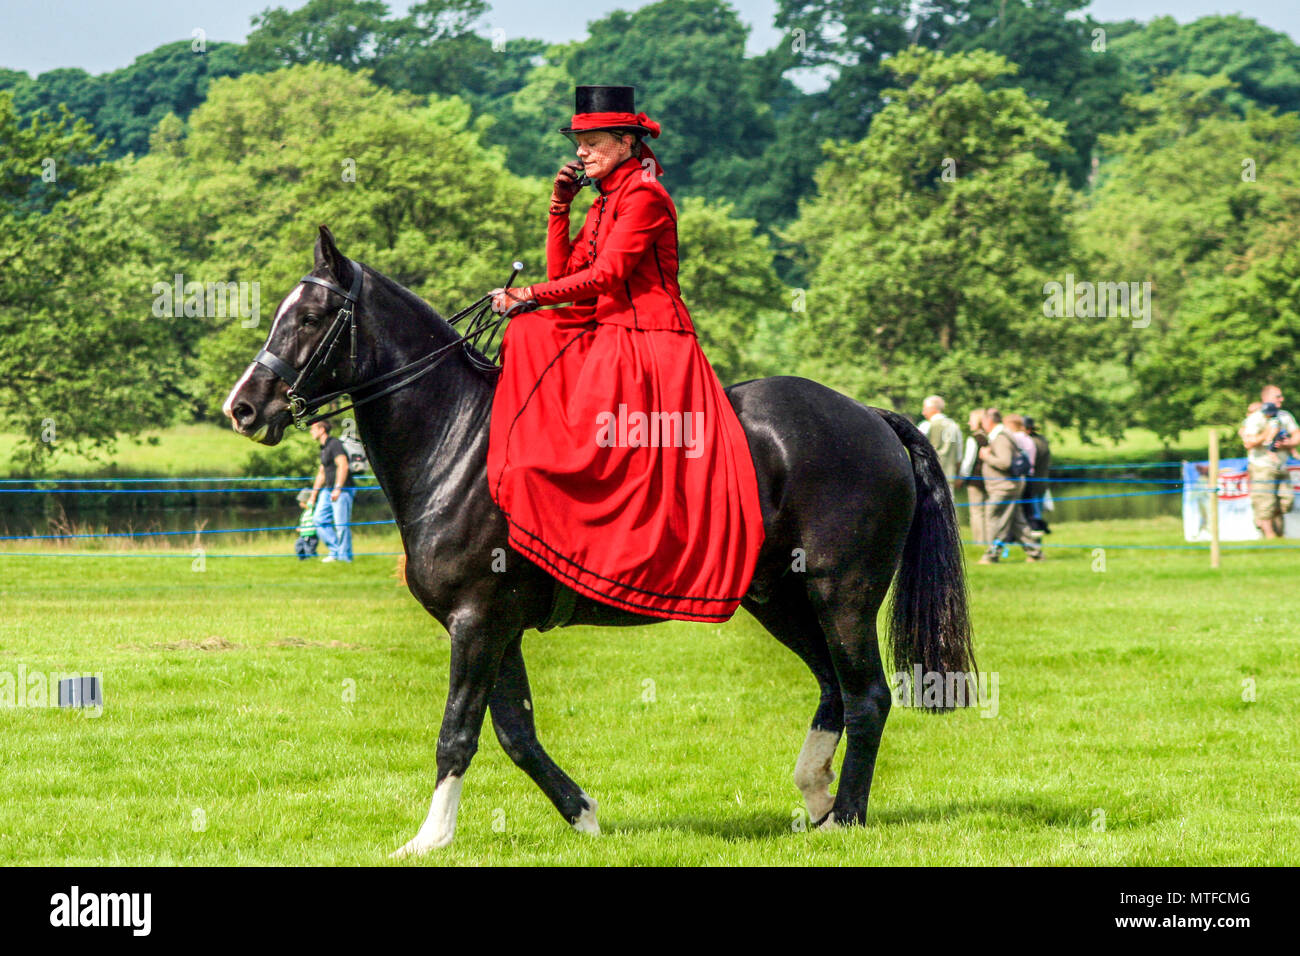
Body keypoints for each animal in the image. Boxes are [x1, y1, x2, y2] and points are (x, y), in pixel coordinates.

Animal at [223, 226, 974, 857]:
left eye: (311, 317)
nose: (244, 408)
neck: (458, 442)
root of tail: (868, 416)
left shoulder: (477, 621)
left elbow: (458, 733)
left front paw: (429, 839)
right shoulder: (499, 628)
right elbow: (516, 733)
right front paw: (583, 815)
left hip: (840, 597)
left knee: (867, 696)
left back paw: (845, 818)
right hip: (781, 600)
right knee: (834, 689)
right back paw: (816, 800)